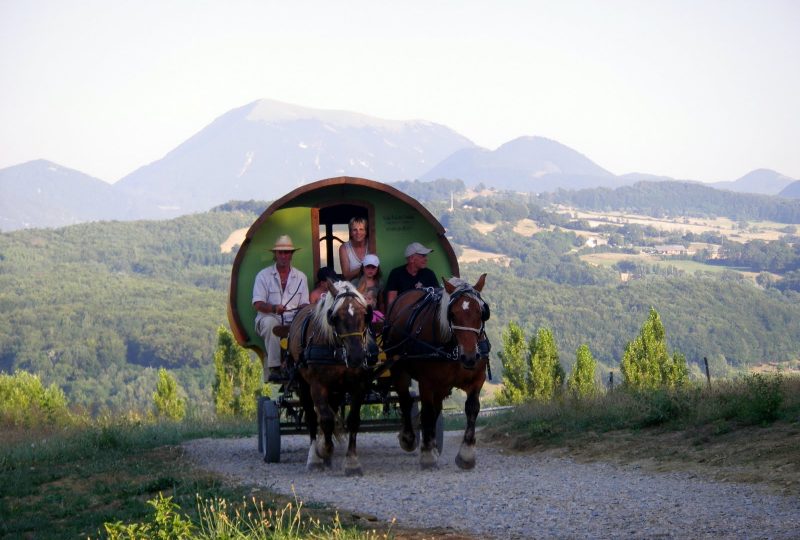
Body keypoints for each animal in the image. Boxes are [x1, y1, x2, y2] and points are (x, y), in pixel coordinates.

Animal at [290, 280, 374, 474]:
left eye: (365, 314)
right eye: (335, 317)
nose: (357, 356)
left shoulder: (358, 385)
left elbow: (353, 420)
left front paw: (352, 462)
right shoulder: (317, 385)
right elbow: (325, 420)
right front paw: (324, 450)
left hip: (337, 389)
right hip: (303, 385)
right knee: (312, 418)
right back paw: (314, 458)